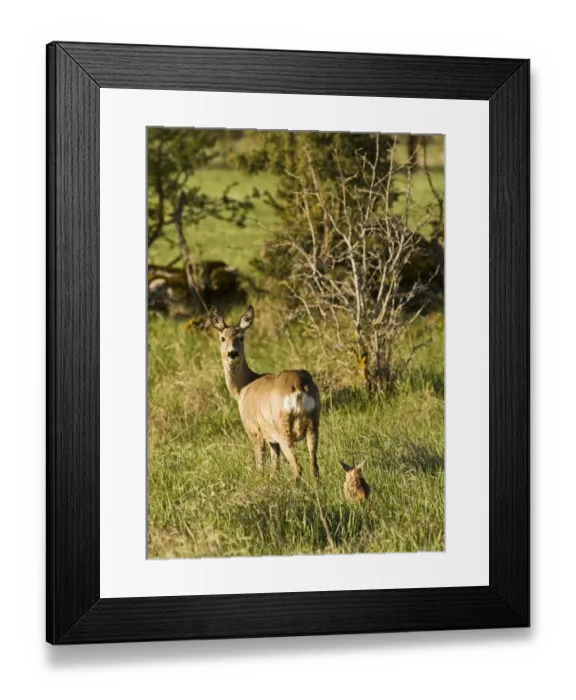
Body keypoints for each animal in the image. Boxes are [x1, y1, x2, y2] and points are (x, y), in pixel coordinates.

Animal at [209, 305, 321, 482]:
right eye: (222, 338)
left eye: (241, 337)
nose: (232, 353)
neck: (243, 388)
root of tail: (298, 385)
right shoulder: (271, 439)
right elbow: (275, 466)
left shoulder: (254, 431)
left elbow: (260, 464)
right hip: (313, 423)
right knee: (314, 466)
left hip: (283, 428)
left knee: (297, 466)